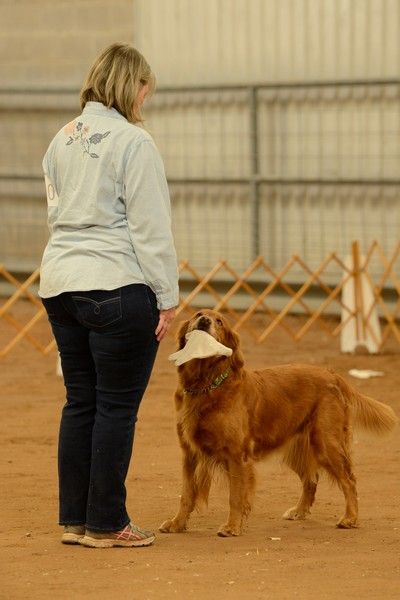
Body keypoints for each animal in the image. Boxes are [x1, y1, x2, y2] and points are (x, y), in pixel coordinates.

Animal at [160, 309, 398, 537]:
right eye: (198, 314)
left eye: (219, 321)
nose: (204, 321)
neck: (207, 386)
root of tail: (333, 375)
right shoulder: (190, 454)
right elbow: (186, 495)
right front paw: (177, 523)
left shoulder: (236, 455)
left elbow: (235, 496)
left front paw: (232, 526)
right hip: (299, 448)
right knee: (311, 479)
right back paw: (299, 511)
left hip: (326, 442)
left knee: (349, 481)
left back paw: (350, 518)